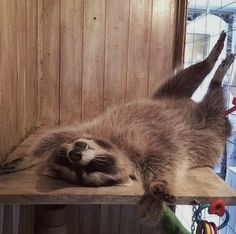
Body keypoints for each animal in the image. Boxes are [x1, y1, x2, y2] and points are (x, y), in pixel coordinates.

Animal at [0, 31, 233, 225]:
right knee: (212, 103)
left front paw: (28, 157)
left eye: (92, 162)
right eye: (85, 168)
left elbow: (55, 137)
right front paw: (158, 184)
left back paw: (211, 66)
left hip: (167, 97)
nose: (75, 154)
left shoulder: (94, 130)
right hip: (212, 127)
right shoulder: (147, 154)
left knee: (187, 78)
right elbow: (167, 160)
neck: (116, 145)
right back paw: (216, 83)